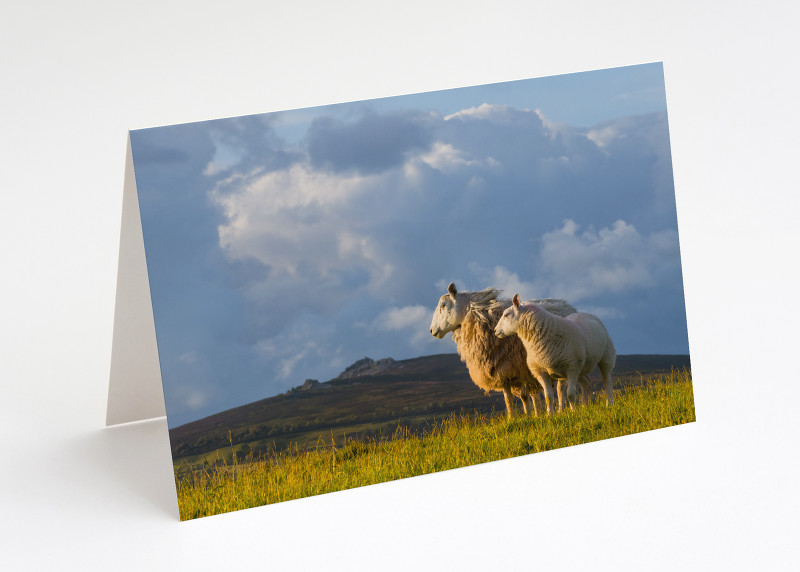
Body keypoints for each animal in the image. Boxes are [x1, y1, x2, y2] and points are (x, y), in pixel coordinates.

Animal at [428, 284, 580, 418]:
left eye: (443, 305)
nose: (431, 330)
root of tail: (566, 304)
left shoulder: (520, 368)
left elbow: (524, 396)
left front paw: (528, 416)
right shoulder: (503, 372)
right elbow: (509, 399)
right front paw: (513, 418)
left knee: (560, 389)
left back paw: (560, 410)